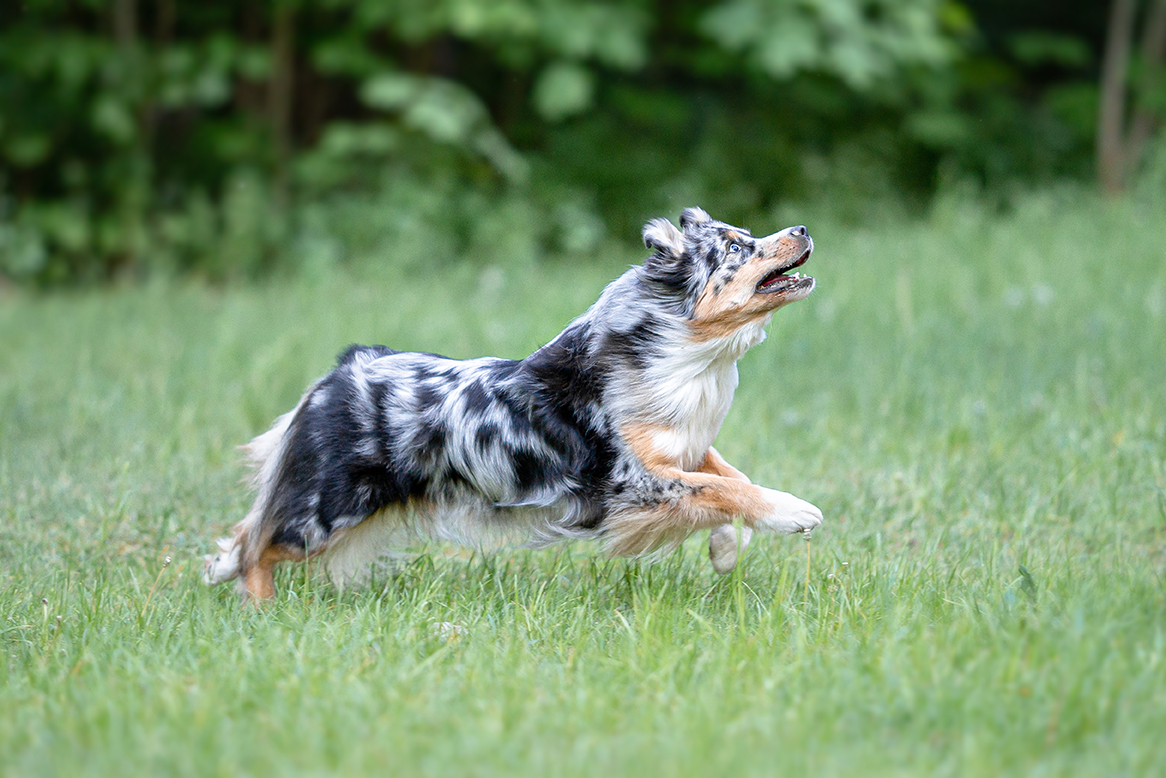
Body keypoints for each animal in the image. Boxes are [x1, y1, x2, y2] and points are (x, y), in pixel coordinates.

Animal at [209, 205, 825, 597]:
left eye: (746, 233)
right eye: (737, 247)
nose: (802, 227)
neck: (681, 351)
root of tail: (348, 366)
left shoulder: (680, 448)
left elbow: (731, 480)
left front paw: (726, 550)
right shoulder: (631, 482)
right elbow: (719, 489)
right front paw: (793, 511)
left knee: (250, 530)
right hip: (327, 509)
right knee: (257, 542)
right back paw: (257, 606)